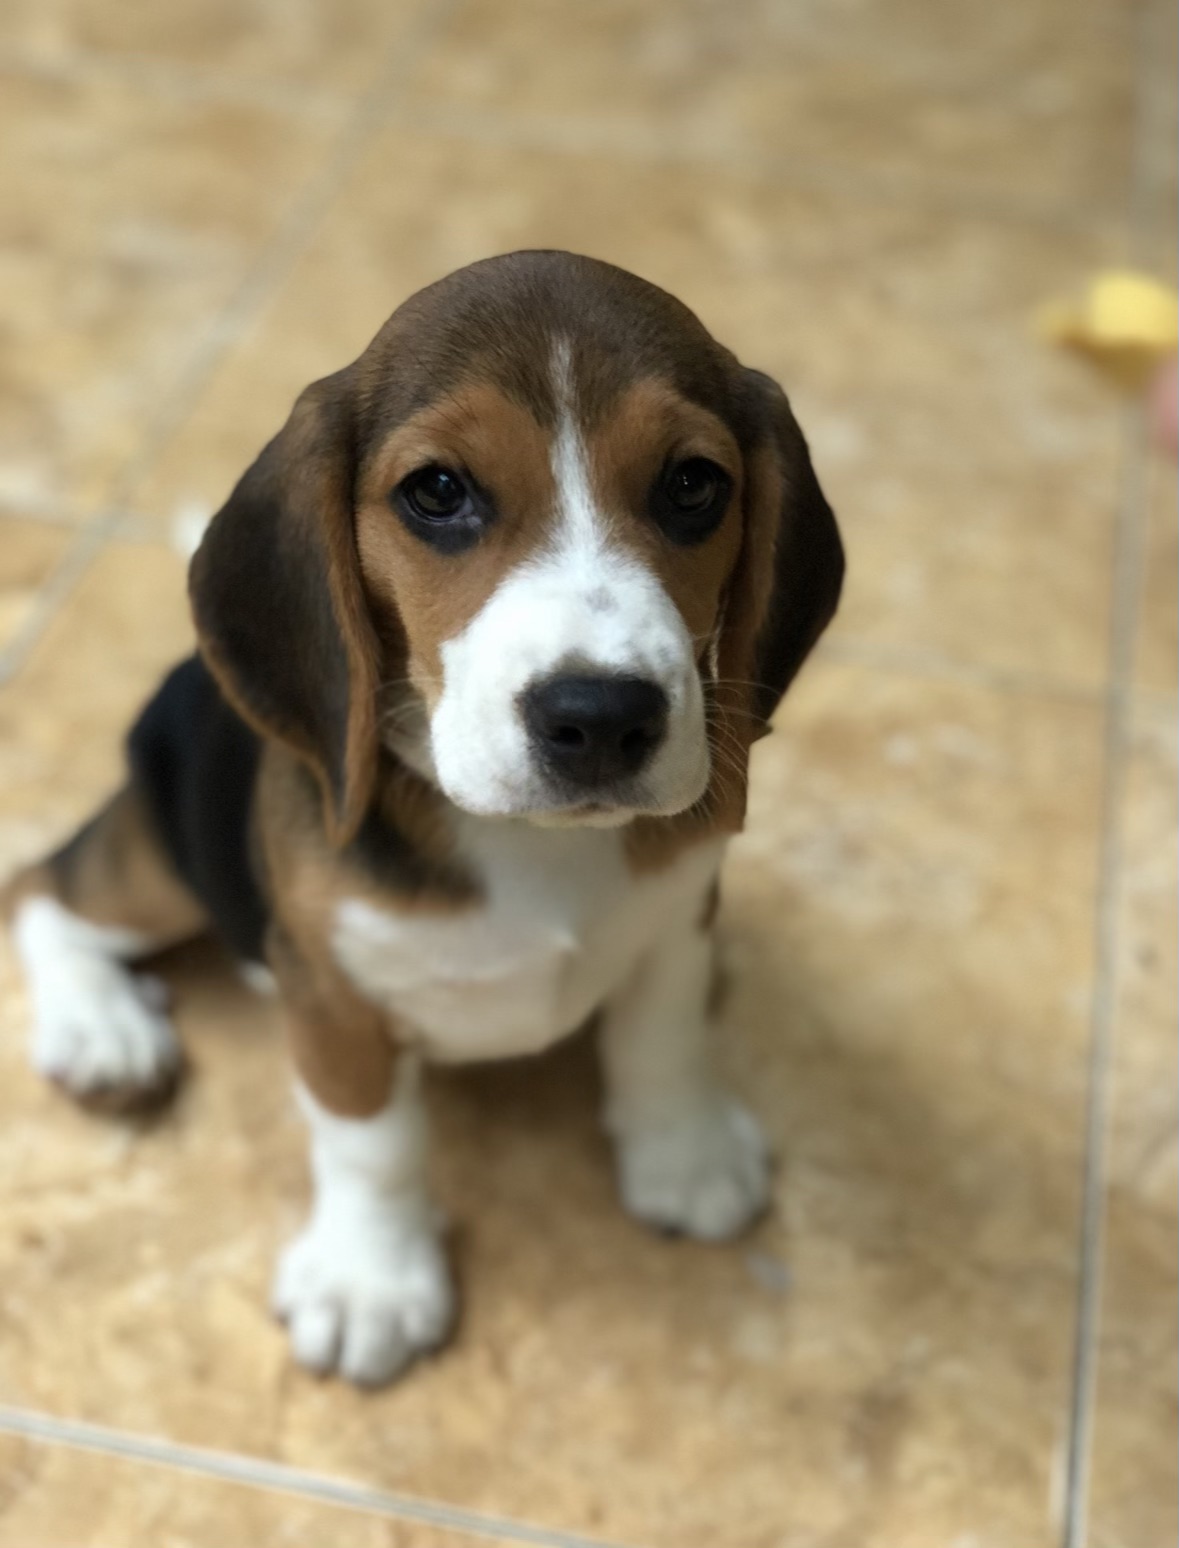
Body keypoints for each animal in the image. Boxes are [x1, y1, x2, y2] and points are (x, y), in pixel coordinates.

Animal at [4, 253, 841, 1393]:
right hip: (167, 852)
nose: (601, 715)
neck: (534, 844)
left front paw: (686, 1152)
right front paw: (372, 1283)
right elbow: (373, 1144)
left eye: (692, 485)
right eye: (438, 492)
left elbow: (661, 1038)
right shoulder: (331, 996)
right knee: (44, 888)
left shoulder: (679, 920)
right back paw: (101, 1028)